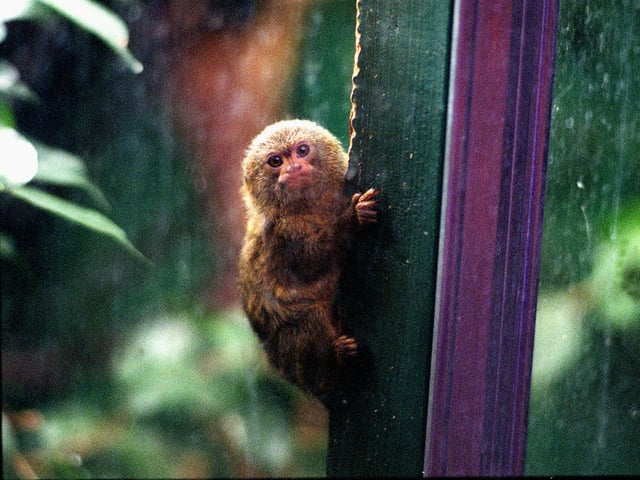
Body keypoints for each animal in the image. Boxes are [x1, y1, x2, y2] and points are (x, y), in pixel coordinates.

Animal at [238, 119, 378, 401]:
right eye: (275, 161)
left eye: (302, 150)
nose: (293, 168)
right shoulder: (285, 232)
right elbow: (312, 263)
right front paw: (352, 219)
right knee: (307, 320)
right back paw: (336, 358)